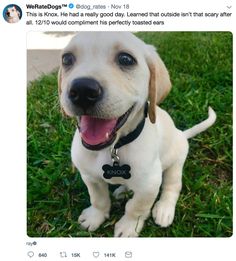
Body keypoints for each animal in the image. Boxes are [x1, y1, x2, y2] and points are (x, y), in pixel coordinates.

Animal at [58, 32, 217, 236]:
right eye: (67, 59)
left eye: (126, 59)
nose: (83, 90)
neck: (114, 148)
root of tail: (181, 134)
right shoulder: (90, 177)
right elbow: (98, 199)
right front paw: (95, 216)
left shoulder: (150, 184)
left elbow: (136, 207)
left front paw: (128, 227)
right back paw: (123, 191)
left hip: (175, 163)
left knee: (172, 186)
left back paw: (164, 209)